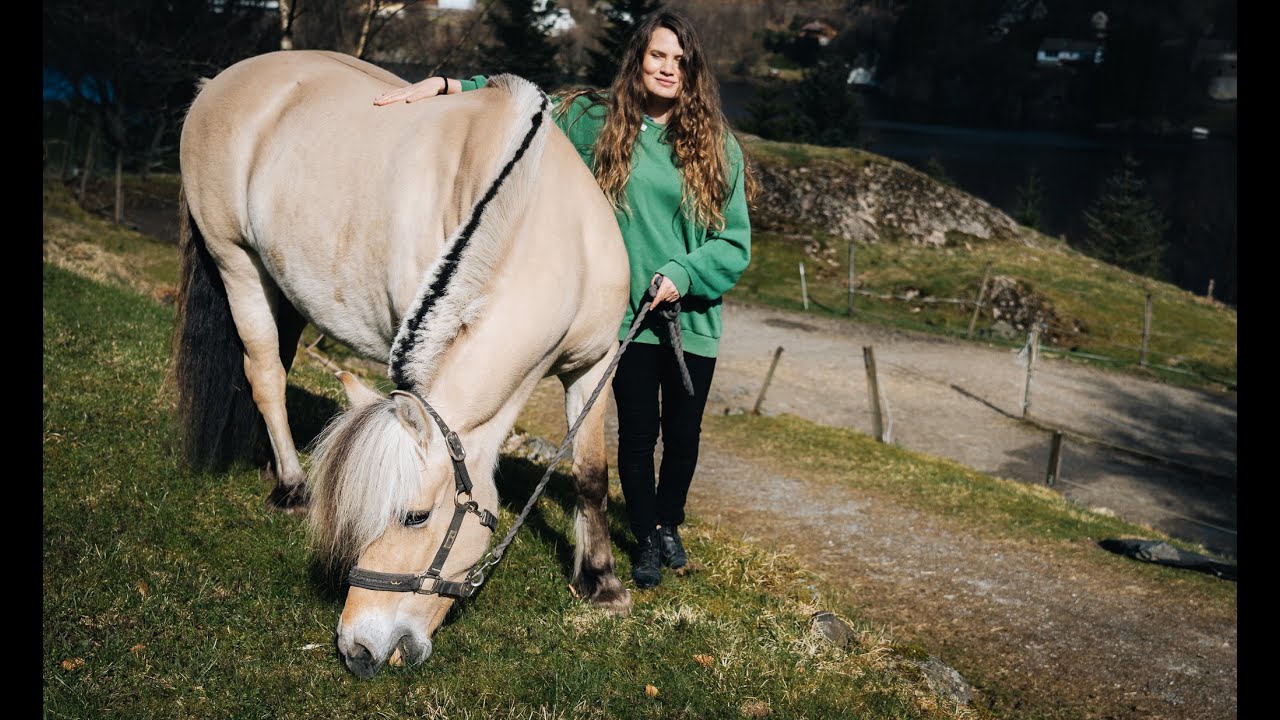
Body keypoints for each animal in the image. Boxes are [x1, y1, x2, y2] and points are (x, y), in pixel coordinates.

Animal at [170, 50, 633, 678]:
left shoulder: (595, 365)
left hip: (277, 282)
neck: (550, 226)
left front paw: (602, 583)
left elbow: (590, 475)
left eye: (414, 517)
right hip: (236, 264)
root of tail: (216, 85)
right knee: (264, 375)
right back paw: (291, 487)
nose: (357, 648)